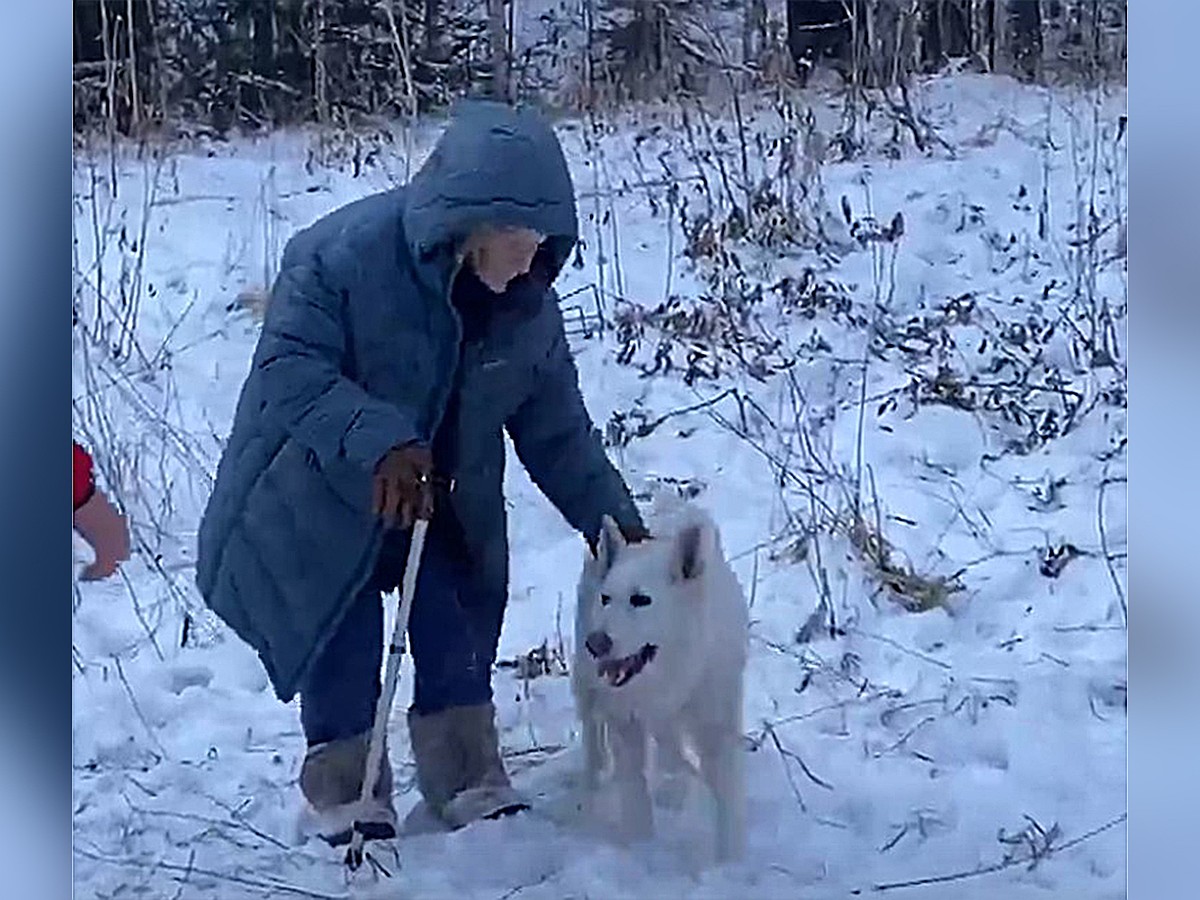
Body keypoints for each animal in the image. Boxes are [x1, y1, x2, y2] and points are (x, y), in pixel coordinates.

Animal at [573, 504, 748, 864]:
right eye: (606, 598)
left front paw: (730, 860)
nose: (595, 643)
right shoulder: (624, 721)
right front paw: (639, 845)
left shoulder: (716, 722)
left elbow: (726, 792)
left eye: (641, 600)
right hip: (586, 687)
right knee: (593, 739)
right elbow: (634, 785)